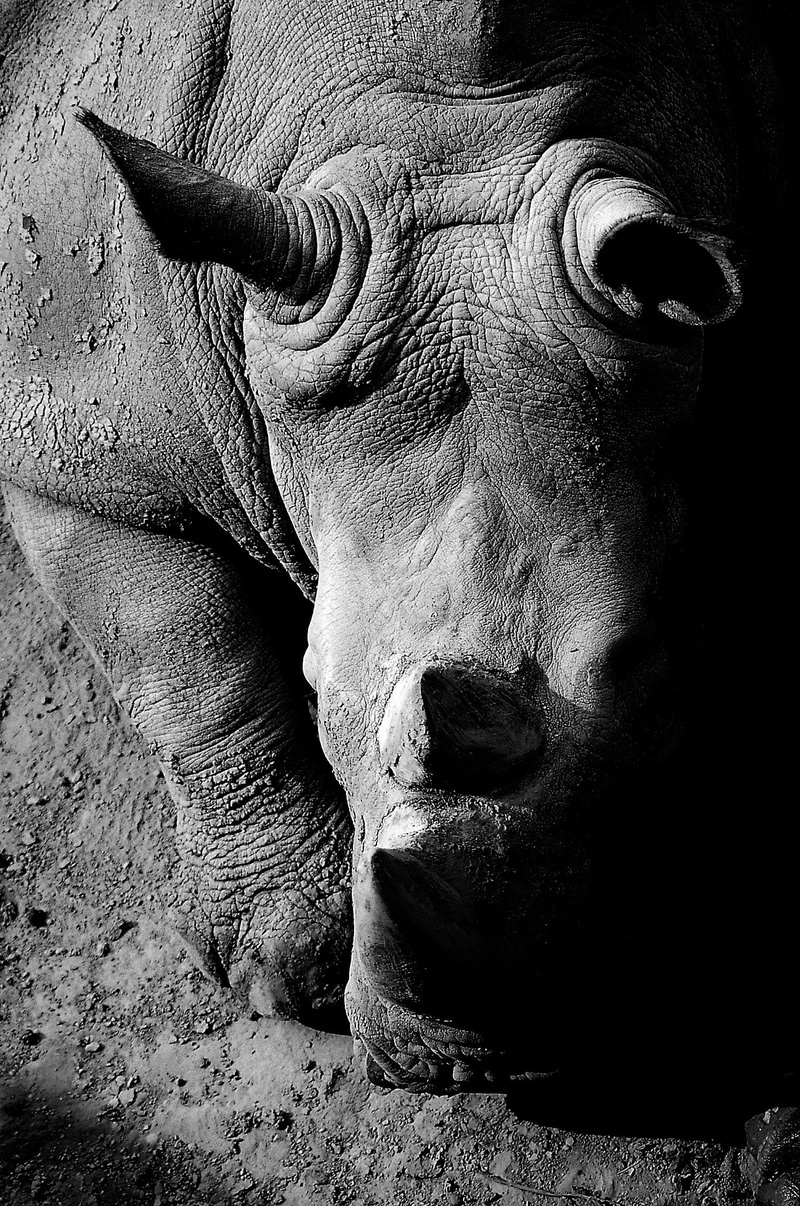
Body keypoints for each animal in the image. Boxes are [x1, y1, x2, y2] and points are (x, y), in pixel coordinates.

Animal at [1, 0, 795, 1194]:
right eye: (312, 683)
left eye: (661, 681)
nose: (479, 1064)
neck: (448, 128)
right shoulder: (72, 429)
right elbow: (181, 648)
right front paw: (283, 969)